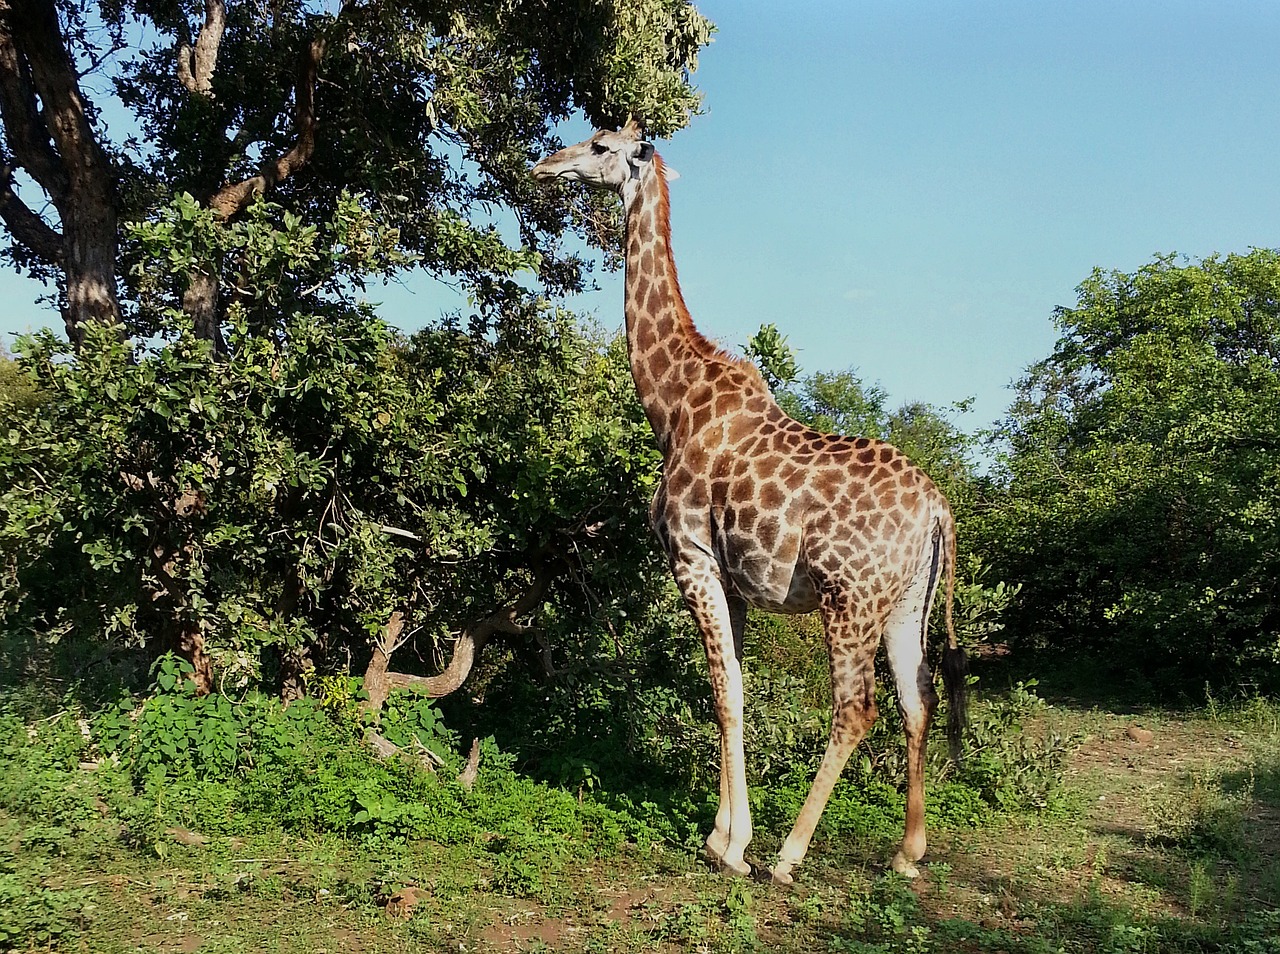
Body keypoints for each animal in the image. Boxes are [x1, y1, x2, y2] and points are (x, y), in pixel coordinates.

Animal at [532, 121, 967, 886]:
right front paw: (722, 833)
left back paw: (789, 855)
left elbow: (722, 691)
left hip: (847, 596)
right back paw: (907, 852)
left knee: (857, 707)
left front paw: (732, 847)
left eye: (599, 145)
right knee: (918, 699)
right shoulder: (732, 580)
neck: (671, 404)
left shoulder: (691, 557)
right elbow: (734, 686)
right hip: (906, 597)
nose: (544, 165)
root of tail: (939, 509)